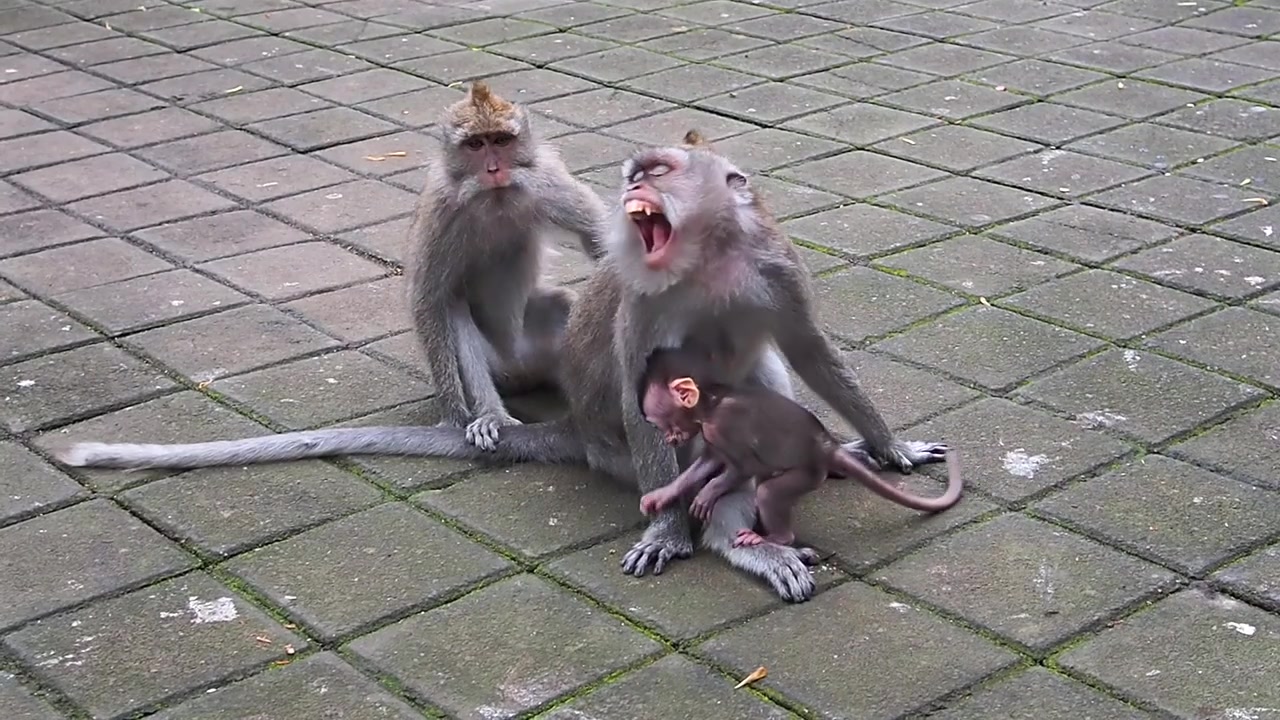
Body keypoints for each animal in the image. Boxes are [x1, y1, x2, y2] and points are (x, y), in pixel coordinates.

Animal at [409, 81, 608, 451]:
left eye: (501, 140)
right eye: (475, 144)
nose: (494, 171)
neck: (495, 201)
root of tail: (520, 370)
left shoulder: (548, 180)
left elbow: (598, 241)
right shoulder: (440, 209)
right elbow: (428, 299)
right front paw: (453, 414)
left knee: (563, 305)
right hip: (499, 370)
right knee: (454, 309)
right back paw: (493, 415)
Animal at [634, 346, 963, 547]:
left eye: (662, 423)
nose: (669, 439)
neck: (711, 404)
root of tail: (826, 447)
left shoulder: (725, 425)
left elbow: (743, 466)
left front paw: (708, 493)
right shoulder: (713, 433)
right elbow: (710, 461)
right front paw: (664, 494)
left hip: (808, 473)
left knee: (768, 491)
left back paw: (777, 538)